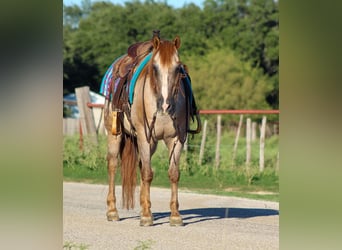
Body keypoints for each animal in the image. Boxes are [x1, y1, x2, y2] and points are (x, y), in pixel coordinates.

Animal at [103, 33, 200, 227]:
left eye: (178, 68)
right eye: (154, 68)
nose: (165, 104)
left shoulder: (177, 139)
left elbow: (173, 174)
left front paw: (175, 216)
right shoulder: (144, 137)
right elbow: (148, 174)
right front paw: (147, 217)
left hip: (152, 143)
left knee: (141, 165)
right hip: (115, 134)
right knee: (113, 165)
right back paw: (112, 211)